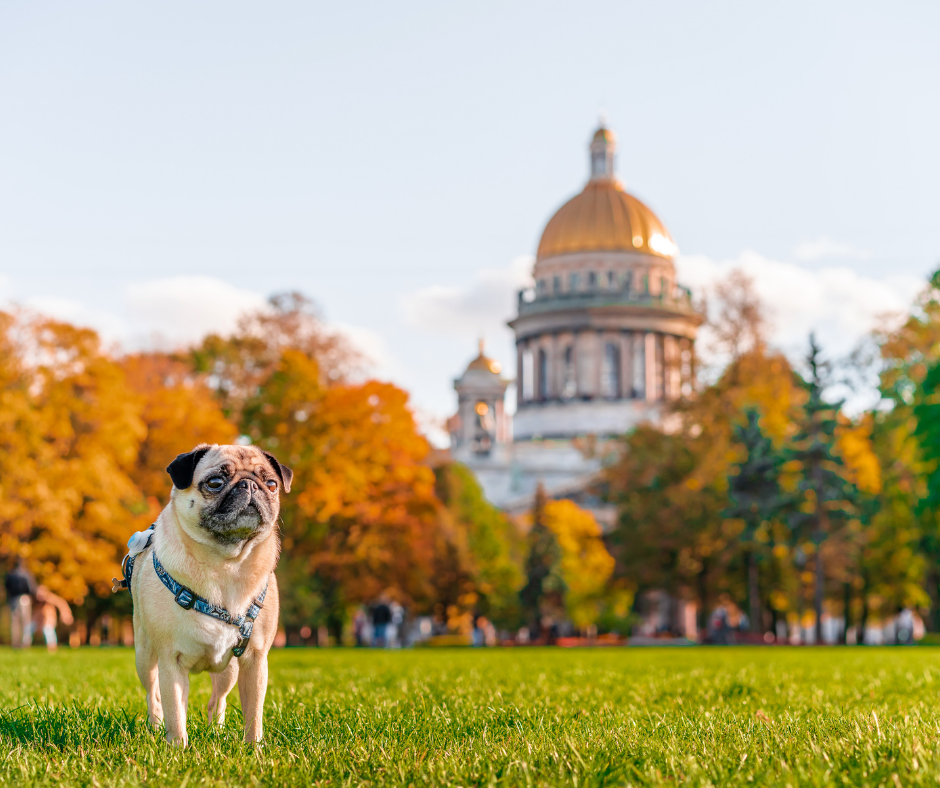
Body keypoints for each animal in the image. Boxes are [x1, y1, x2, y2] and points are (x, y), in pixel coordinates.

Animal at [129, 444, 290, 744]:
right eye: (215, 482)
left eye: (272, 484)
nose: (250, 484)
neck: (226, 565)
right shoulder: (171, 661)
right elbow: (175, 715)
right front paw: (177, 749)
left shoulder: (255, 661)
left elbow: (254, 714)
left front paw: (254, 748)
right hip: (144, 655)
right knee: (153, 695)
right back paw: (155, 727)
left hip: (229, 671)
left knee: (218, 699)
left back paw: (217, 729)